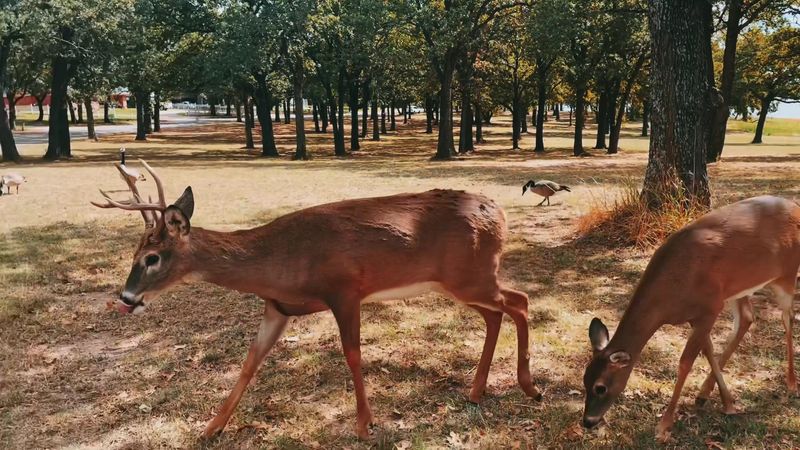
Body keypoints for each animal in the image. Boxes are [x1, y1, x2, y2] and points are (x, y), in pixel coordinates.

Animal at [91, 160, 543, 439]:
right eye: (135, 254)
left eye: (151, 258)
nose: (127, 297)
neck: (281, 262)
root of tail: (500, 213)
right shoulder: (276, 307)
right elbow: (249, 363)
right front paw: (211, 428)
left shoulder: (344, 291)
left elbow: (353, 354)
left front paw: (364, 425)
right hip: (457, 283)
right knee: (497, 314)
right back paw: (476, 391)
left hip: (472, 277)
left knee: (519, 301)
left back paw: (529, 387)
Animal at [582, 195, 800, 442]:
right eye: (584, 380)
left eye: (600, 387)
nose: (588, 422)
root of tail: (795, 206)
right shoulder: (696, 315)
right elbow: (708, 351)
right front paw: (724, 402)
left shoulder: (710, 307)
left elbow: (685, 362)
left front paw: (664, 425)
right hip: (737, 289)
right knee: (747, 317)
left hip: (786, 274)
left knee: (787, 317)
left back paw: (792, 383)